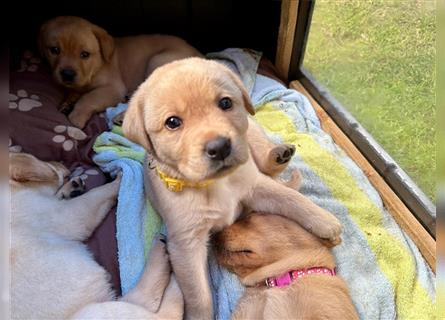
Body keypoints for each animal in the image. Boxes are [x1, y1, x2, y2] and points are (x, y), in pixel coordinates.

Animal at [38, 15, 201, 129]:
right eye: (54, 50)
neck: (95, 66)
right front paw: (67, 102)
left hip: (156, 60)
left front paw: (76, 118)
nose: (67, 74)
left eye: (85, 54)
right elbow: (74, 92)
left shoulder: (113, 88)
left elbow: (88, 98)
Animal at [123, 58, 342, 320]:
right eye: (172, 122)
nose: (220, 147)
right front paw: (200, 316)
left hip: (251, 135)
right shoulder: (186, 243)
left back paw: (279, 155)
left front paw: (325, 222)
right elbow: (199, 295)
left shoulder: (255, 186)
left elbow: (290, 198)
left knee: (268, 164)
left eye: (225, 103)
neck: (215, 183)